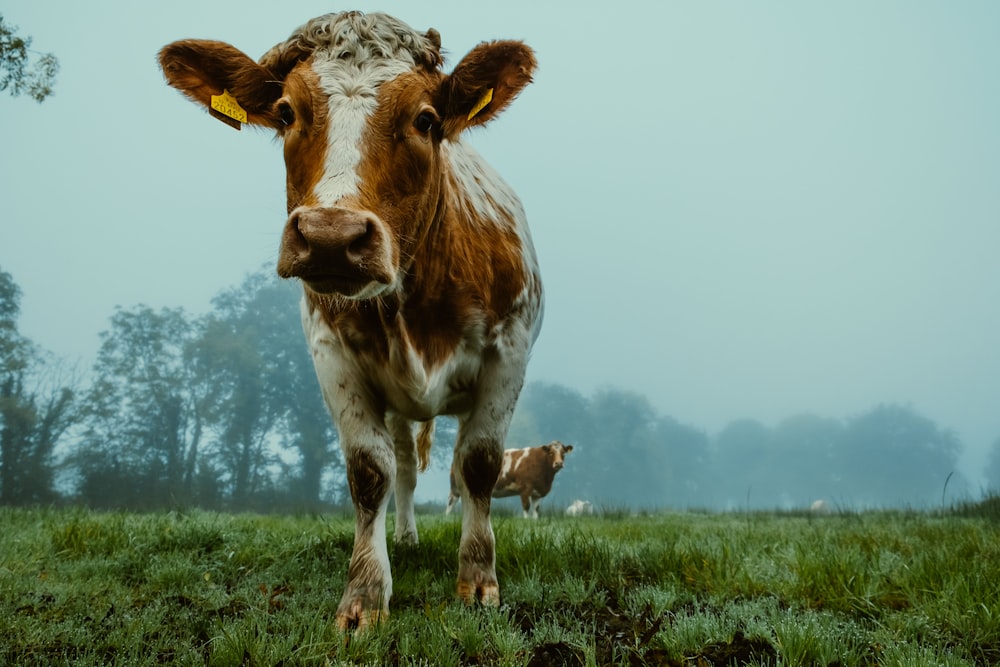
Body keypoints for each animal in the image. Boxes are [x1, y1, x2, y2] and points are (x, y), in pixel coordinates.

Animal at [159, 13, 544, 636]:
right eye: (286, 112)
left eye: (425, 119)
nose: (330, 237)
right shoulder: (331, 355)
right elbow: (370, 472)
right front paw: (364, 595)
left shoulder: (509, 351)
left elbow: (479, 463)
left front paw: (479, 581)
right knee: (405, 468)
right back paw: (406, 538)